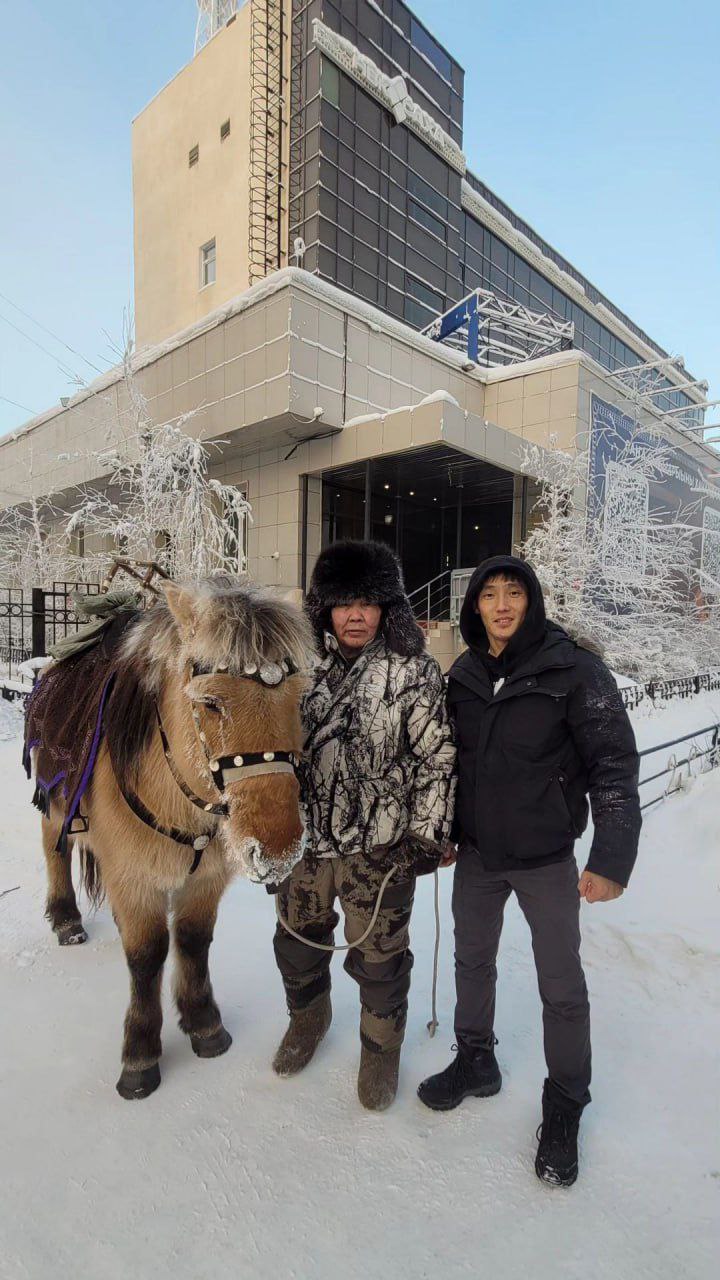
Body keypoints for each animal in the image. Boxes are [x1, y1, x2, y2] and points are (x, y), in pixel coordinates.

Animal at [28, 581, 313, 1100]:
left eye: (300, 699)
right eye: (211, 703)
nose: (279, 849)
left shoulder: (207, 880)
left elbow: (193, 942)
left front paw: (203, 1022)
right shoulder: (133, 876)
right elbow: (146, 956)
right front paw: (140, 1052)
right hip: (53, 799)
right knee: (55, 849)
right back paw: (65, 918)